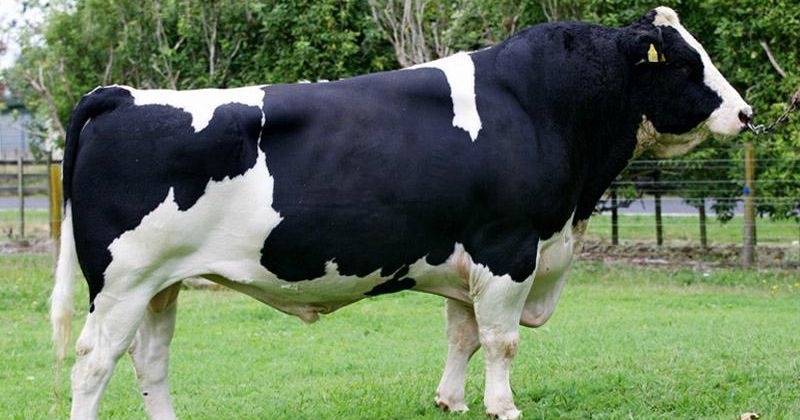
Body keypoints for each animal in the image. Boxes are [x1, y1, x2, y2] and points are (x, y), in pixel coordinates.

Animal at [51, 7, 751, 419]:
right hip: (122, 282)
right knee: (93, 361)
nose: (744, 113)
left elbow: (462, 334)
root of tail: (121, 94)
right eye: (687, 61)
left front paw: (451, 402)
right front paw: (503, 408)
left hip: (161, 283)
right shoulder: (509, 247)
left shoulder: (470, 255)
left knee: (150, 358)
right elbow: (501, 340)